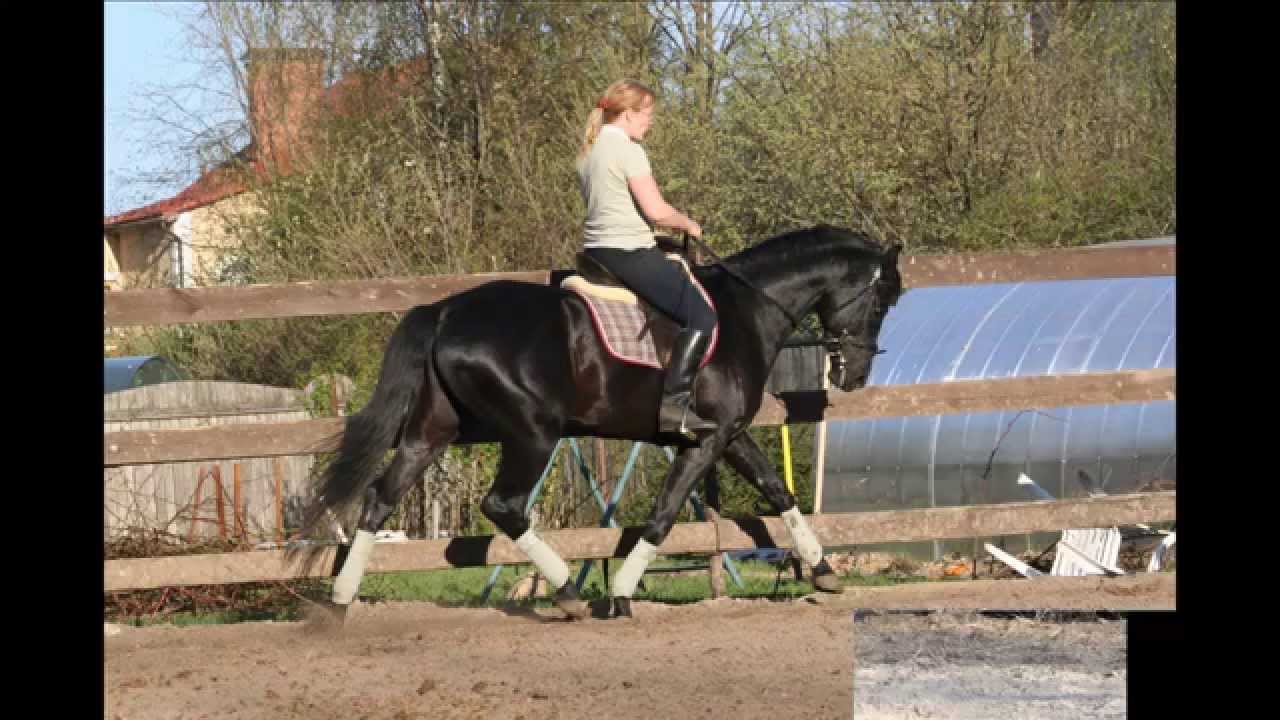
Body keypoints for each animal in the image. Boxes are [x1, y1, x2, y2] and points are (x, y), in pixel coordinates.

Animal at [300, 224, 903, 621]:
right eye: (882, 300)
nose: (855, 375)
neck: (744, 311)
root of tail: (445, 310)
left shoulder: (727, 435)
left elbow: (777, 489)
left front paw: (823, 569)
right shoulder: (704, 440)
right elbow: (664, 514)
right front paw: (622, 593)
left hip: (432, 431)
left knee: (380, 499)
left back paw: (340, 601)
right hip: (533, 432)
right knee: (503, 505)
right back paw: (567, 591)